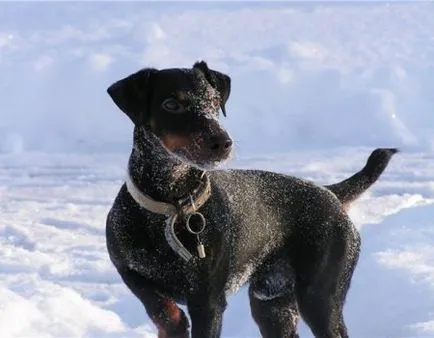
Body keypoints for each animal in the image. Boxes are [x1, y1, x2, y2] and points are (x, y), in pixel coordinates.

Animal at [104, 61, 396, 338]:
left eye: (214, 101)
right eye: (171, 104)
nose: (222, 142)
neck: (171, 205)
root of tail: (330, 193)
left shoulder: (208, 301)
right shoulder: (128, 270)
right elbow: (157, 304)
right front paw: (173, 323)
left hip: (320, 297)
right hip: (271, 305)